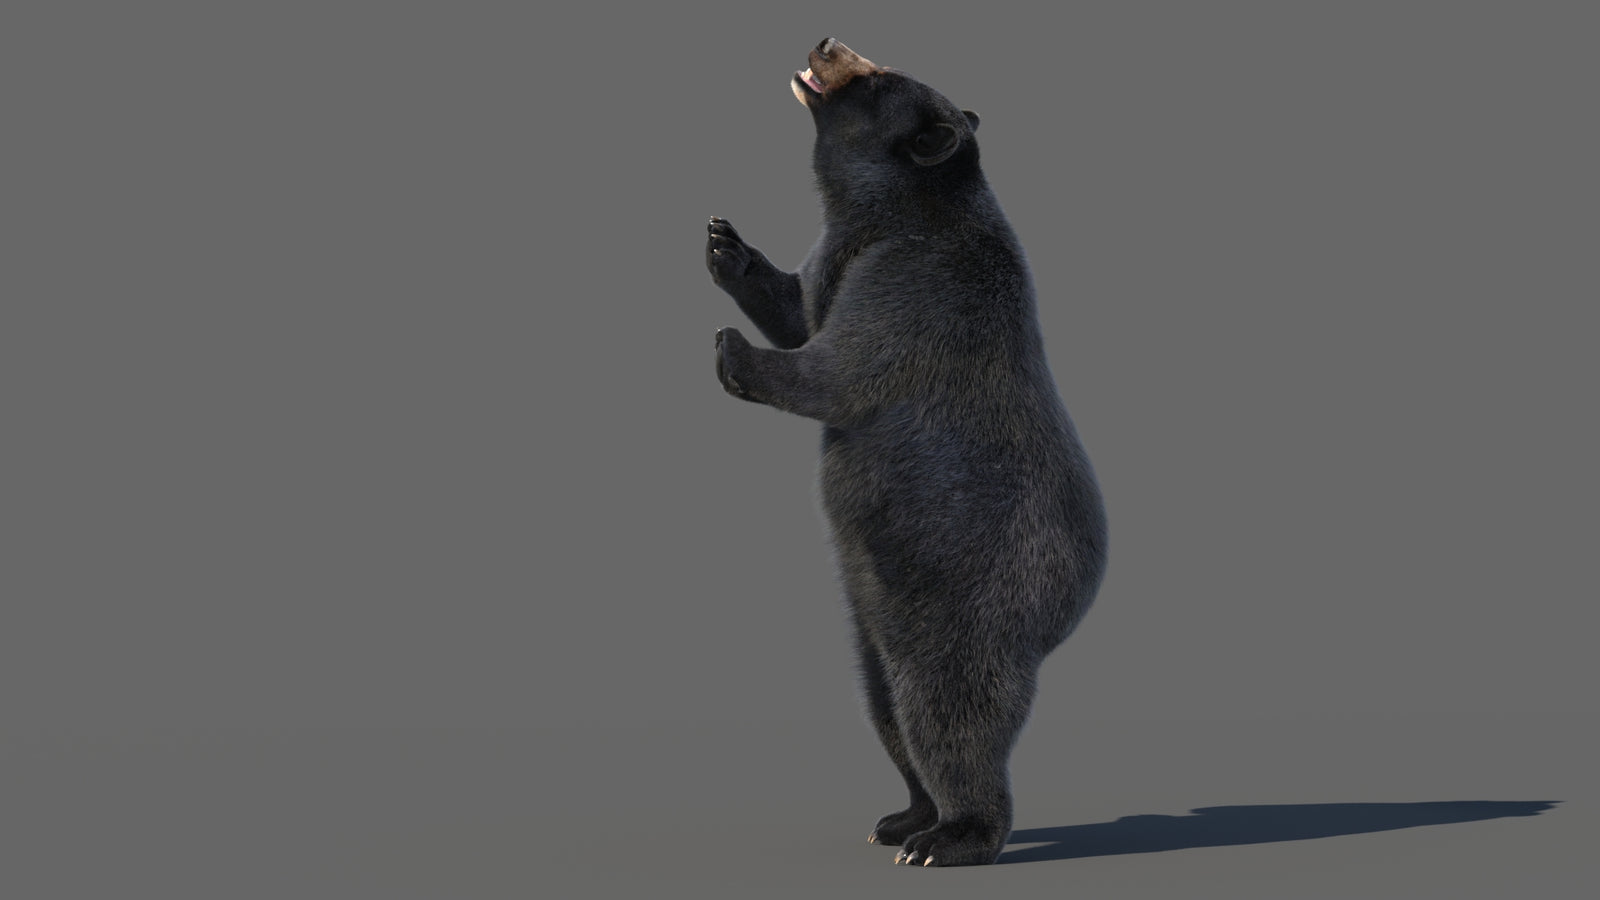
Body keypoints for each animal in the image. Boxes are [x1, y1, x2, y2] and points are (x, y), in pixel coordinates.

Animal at [705, 38, 1108, 868]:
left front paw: (733, 351)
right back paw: (902, 817)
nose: (826, 41)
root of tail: (1066, 615)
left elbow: (843, 367)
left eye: (877, 76)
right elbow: (803, 307)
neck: (888, 211)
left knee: (947, 713)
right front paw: (728, 247)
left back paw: (952, 836)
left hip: (969, 603)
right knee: (885, 706)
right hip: (871, 617)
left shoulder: (918, 281)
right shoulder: (841, 257)